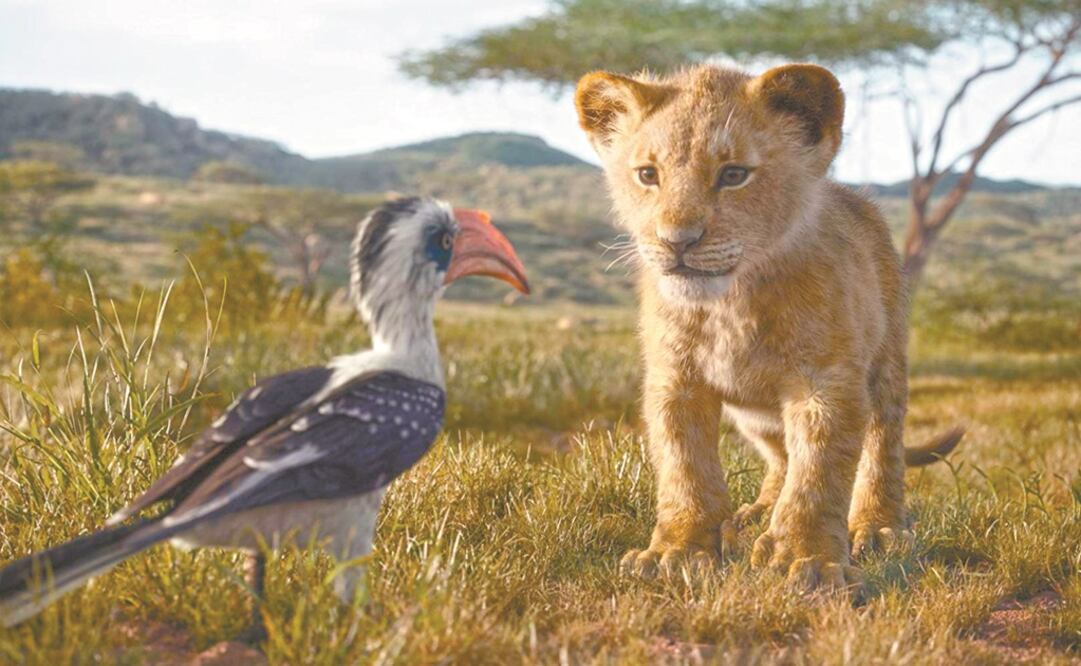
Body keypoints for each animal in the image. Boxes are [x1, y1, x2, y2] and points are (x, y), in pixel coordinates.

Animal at [574, 63, 962, 590]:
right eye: (648, 175)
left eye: (734, 175)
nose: (677, 241)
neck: (729, 304)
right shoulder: (675, 381)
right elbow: (684, 466)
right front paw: (678, 550)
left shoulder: (825, 381)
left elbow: (819, 471)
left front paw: (808, 559)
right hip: (754, 414)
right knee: (780, 456)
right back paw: (755, 514)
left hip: (886, 364)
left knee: (882, 444)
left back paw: (878, 527)